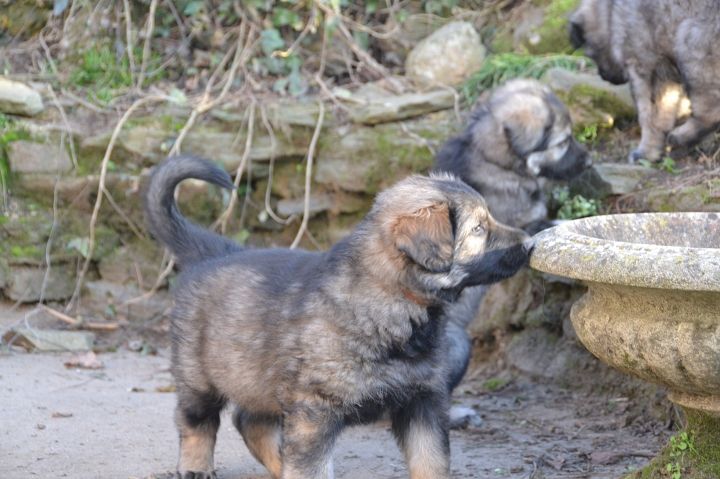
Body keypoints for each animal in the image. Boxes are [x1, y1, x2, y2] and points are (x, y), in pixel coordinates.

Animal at [145, 155, 532, 479]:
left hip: (255, 373)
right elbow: (310, 469)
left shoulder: (423, 401)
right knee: (196, 421)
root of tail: (214, 253)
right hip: (198, 373)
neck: (394, 300)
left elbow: (431, 462)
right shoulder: (315, 410)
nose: (531, 244)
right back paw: (195, 466)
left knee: (249, 420)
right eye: (479, 229)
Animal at [433, 79, 590, 418]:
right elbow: (556, 224)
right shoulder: (520, 228)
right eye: (564, 141)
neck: (495, 159)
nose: (590, 162)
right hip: (458, 346)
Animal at [569, 0, 720, 162]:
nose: (603, 76)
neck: (612, 12)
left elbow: (649, 115)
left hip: (691, 44)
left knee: (711, 109)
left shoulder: (645, 65)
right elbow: (664, 109)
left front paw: (645, 152)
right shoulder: (663, 71)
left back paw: (681, 136)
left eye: (591, 54)